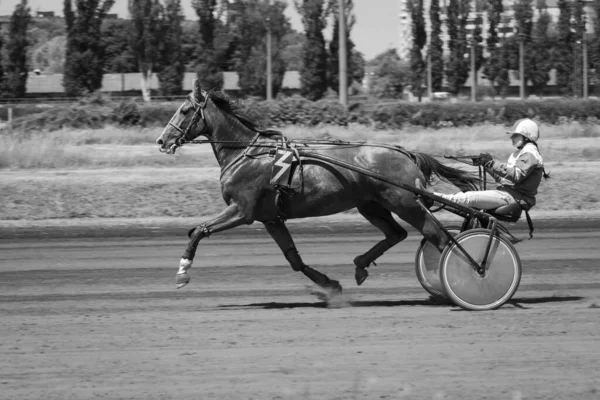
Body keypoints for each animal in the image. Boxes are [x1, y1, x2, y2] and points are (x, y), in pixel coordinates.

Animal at [156, 79, 478, 296]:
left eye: (185, 110)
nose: (162, 141)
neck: (248, 153)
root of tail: (406, 153)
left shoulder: (242, 211)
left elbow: (199, 230)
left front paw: (182, 272)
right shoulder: (270, 218)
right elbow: (293, 258)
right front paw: (329, 283)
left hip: (406, 203)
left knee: (439, 238)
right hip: (371, 204)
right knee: (396, 233)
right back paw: (361, 264)